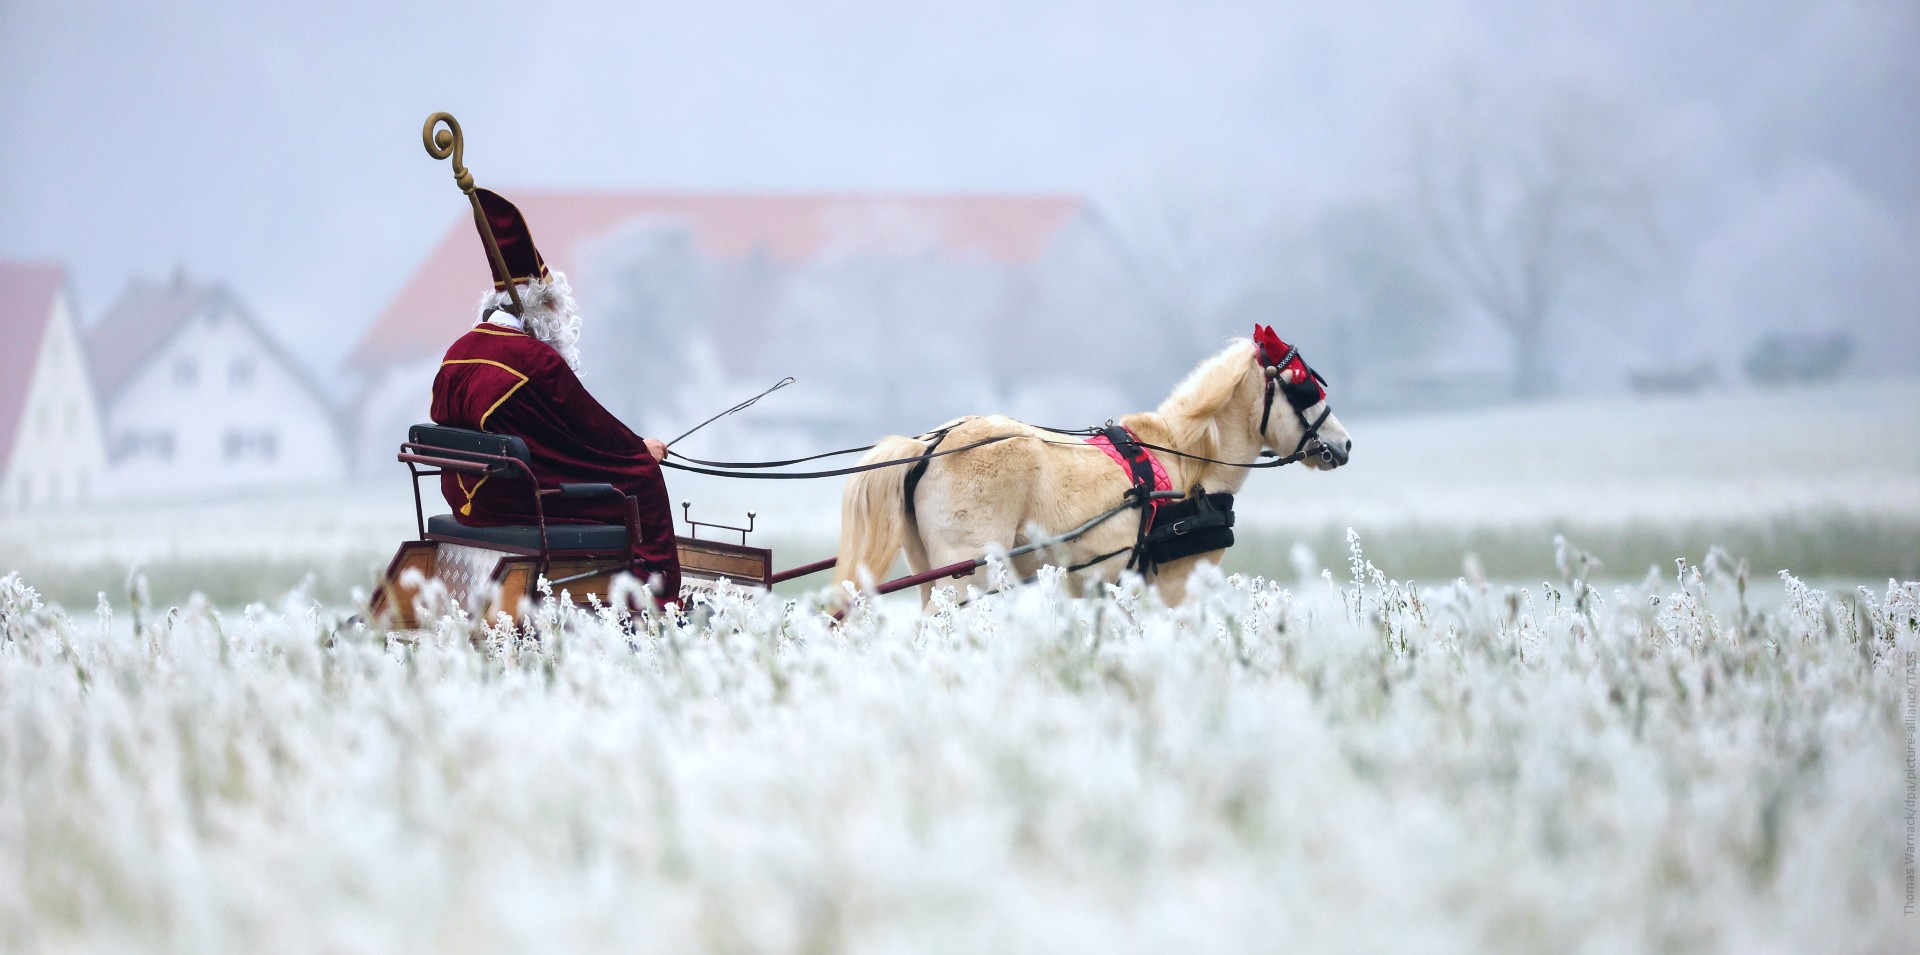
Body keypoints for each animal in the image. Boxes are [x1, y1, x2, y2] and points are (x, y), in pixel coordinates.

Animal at [837, 326, 1351, 603]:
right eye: (1303, 385)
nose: (1342, 444)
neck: (1186, 464)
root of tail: (930, 444)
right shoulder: (1176, 587)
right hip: (971, 577)